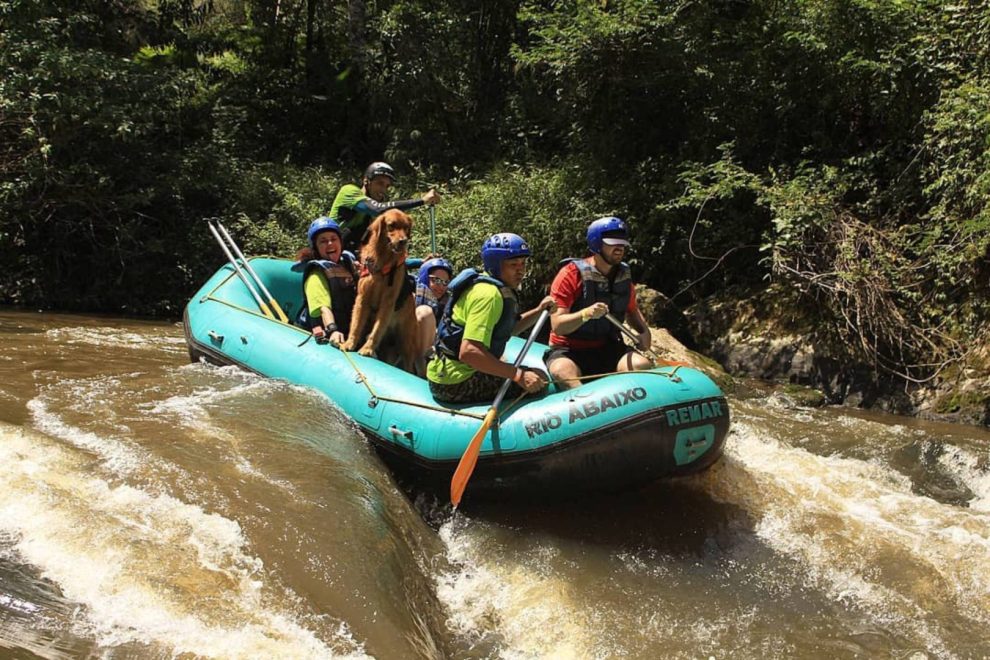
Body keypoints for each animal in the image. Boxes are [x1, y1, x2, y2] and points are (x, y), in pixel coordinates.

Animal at [342, 209, 420, 372]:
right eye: (391, 225)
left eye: (406, 227)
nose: (403, 241)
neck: (384, 258)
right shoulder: (362, 298)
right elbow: (356, 325)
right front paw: (349, 343)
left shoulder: (388, 302)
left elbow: (377, 329)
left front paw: (367, 348)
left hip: (406, 343)